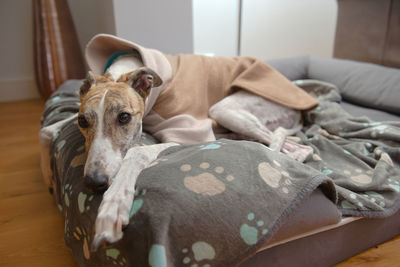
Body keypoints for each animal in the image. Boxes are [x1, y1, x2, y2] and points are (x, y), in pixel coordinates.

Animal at [39, 34, 318, 251]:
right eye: (83, 120)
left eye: (124, 117)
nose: (94, 182)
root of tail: (301, 111)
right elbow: (46, 131)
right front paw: (50, 177)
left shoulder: (185, 133)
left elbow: (136, 154)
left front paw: (113, 207)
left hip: (227, 108)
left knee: (301, 147)